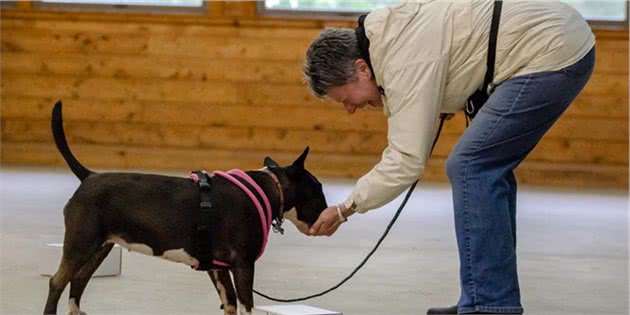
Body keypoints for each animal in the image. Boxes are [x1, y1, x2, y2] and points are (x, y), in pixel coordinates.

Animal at [44, 102, 328, 315]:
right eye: (318, 188)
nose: (327, 211)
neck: (270, 187)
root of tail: (89, 176)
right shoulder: (243, 264)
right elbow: (247, 305)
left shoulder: (218, 267)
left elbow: (229, 304)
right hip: (81, 242)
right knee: (58, 281)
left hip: (101, 246)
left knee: (78, 278)